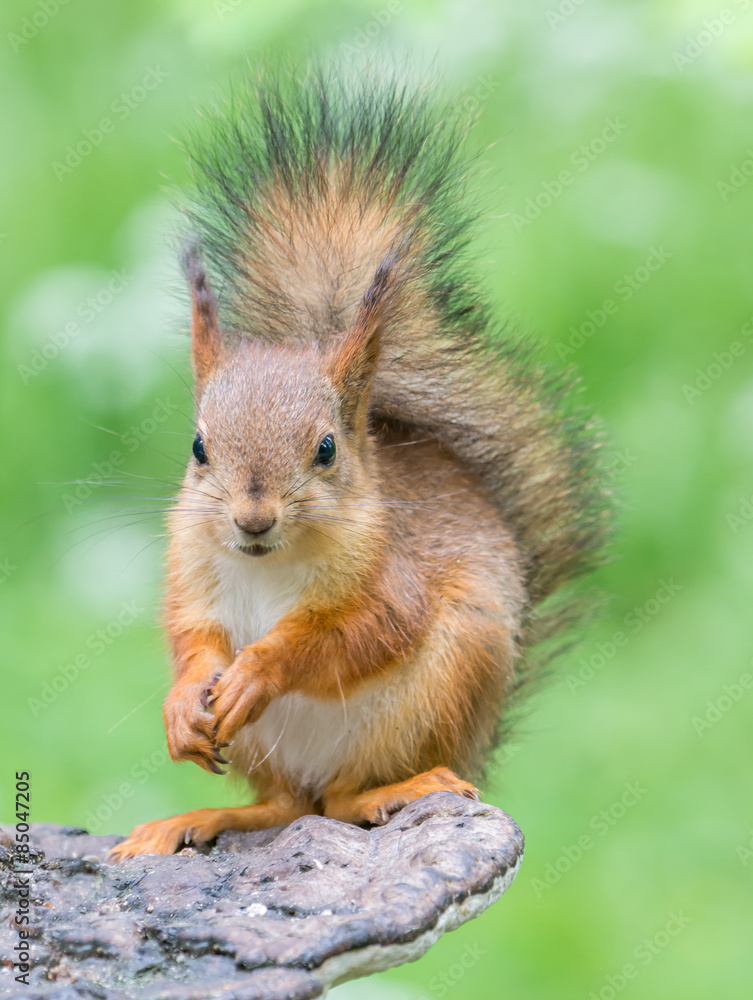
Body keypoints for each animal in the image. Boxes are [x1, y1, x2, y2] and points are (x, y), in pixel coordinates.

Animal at [109, 68, 608, 860]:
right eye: (198, 447)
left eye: (325, 449)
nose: (252, 519)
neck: (268, 564)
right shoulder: (191, 569)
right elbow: (190, 635)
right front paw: (185, 702)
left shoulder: (392, 581)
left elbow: (359, 635)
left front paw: (261, 669)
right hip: (269, 756)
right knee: (286, 805)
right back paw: (200, 820)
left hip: (434, 694)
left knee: (341, 800)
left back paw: (397, 788)